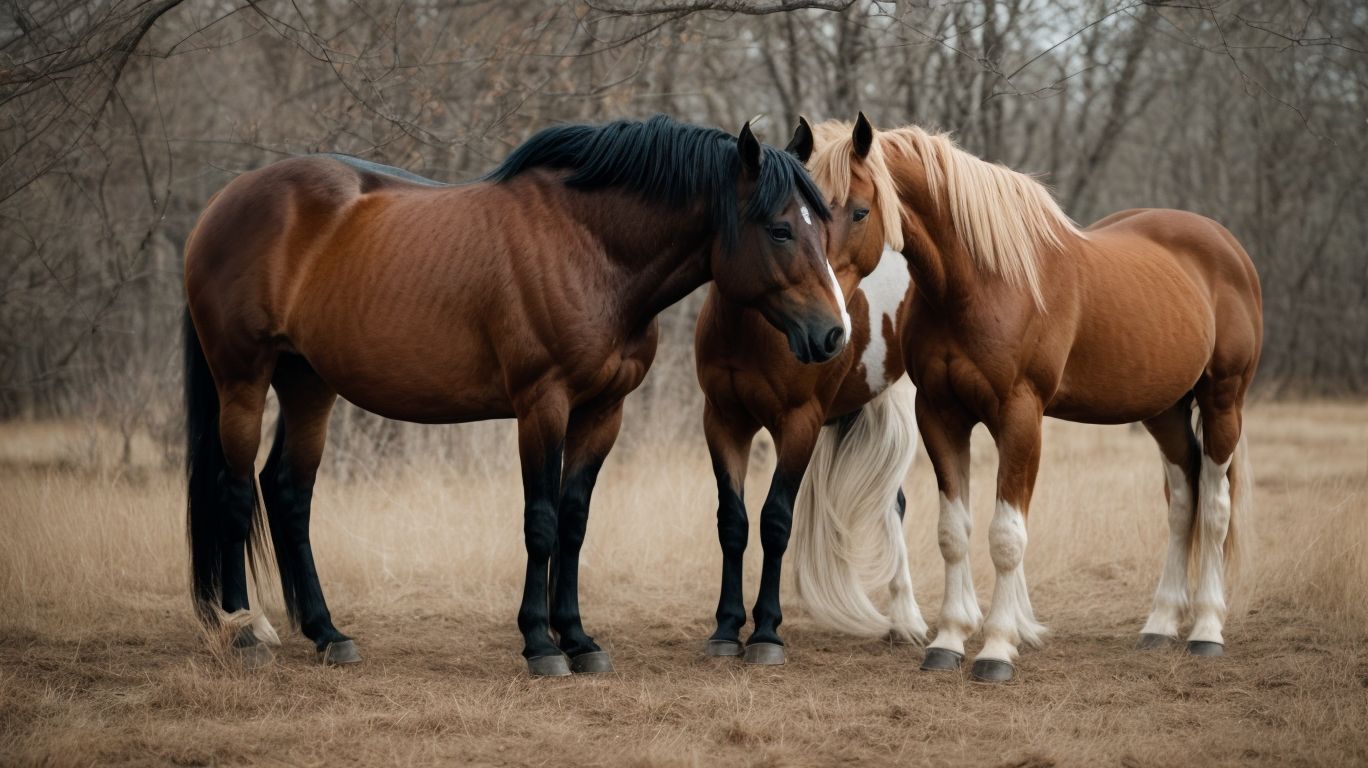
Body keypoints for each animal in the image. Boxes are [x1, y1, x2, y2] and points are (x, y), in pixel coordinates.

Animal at [182, 114, 850, 677]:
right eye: (781, 229)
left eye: (825, 227)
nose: (833, 333)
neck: (591, 248)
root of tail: (222, 203)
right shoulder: (542, 406)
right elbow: (541, 521)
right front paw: (539, 644)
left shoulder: (602, 412)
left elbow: (575, 521)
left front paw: (577, 639)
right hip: (243, 380)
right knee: (236, 494)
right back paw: (244, 633)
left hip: (308, 382)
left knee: (289, 495)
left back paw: (327, 633)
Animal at [695, 118, 927, 664]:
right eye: (780, 229)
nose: (830, 332)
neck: (754, 331)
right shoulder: (723, 422)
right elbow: (733, 521)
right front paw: (725, 628)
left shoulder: (798, 423)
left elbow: (776, 520)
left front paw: (765, 632)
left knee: (896, 504)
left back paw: (908, 620)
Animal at [806, 114, 1261, 682]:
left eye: (859, 210)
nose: (824, 312)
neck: (982, 282)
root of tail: (1227, 246)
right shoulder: (940, 415)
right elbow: (953, 532)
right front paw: (948, 642)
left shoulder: (1020, 417)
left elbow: (1006, 537)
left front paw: (997, 649)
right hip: (1165, 412)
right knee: (1183, 502)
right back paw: (1159, 626)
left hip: (1223, 401)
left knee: (1217, 508)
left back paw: (1206, 629)